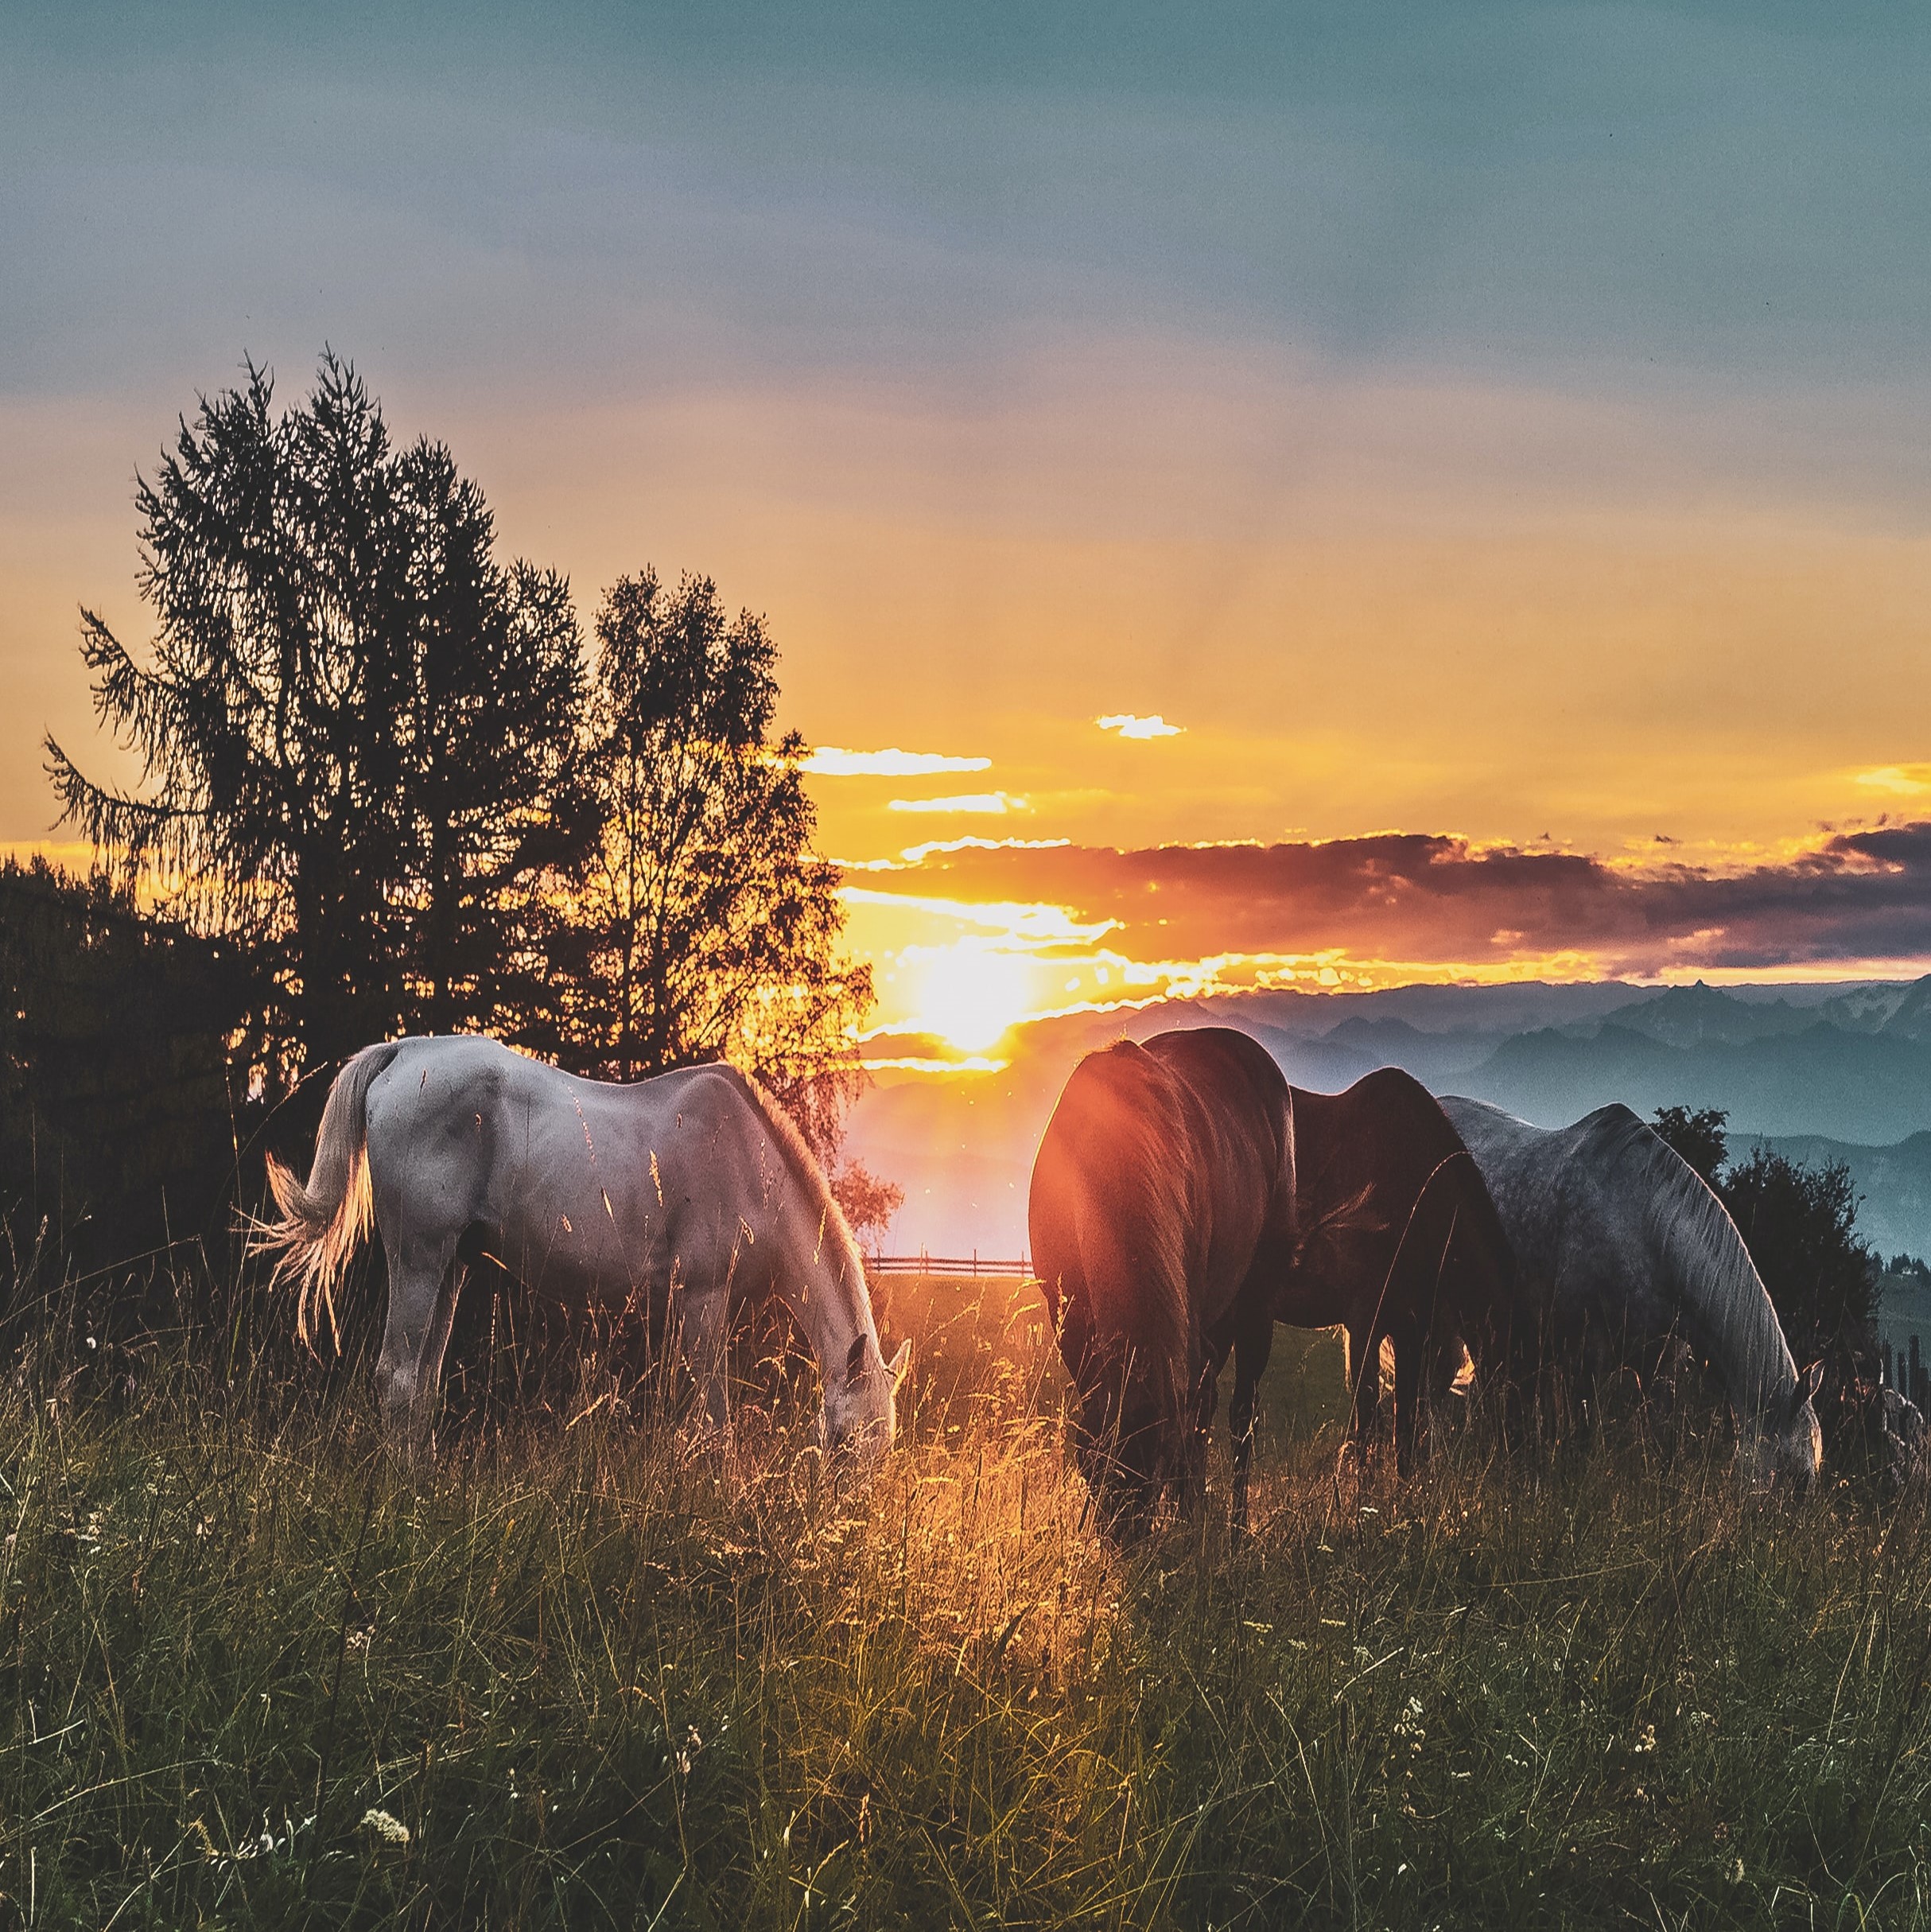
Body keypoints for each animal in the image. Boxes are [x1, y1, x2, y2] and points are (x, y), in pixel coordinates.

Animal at [253, 1043, 907, 1460]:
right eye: (844, 1444)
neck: (749, 1161)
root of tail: (402, 1055)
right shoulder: (702, 1298)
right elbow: (714, 1423)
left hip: (451, 1267)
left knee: (423, 1386)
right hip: (418, 1259)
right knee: (399, 1379)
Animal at [1027, 1035, 1297, 1530]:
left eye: (1152, 1473)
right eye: (1092, 1468)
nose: (1124, 1540)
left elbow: (1197, 1422)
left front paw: (1189, 1518)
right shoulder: (1068, 1317)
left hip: (1256, 1306)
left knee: (1239, 1416)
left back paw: (1231, 1526)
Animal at [1451, 1097, 1823, 1483]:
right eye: (1796, 1476)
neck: (1644, 1230)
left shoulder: (1661, 1365)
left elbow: (1665, 1442)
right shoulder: (1587, 1356)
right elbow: (1583, 1434)